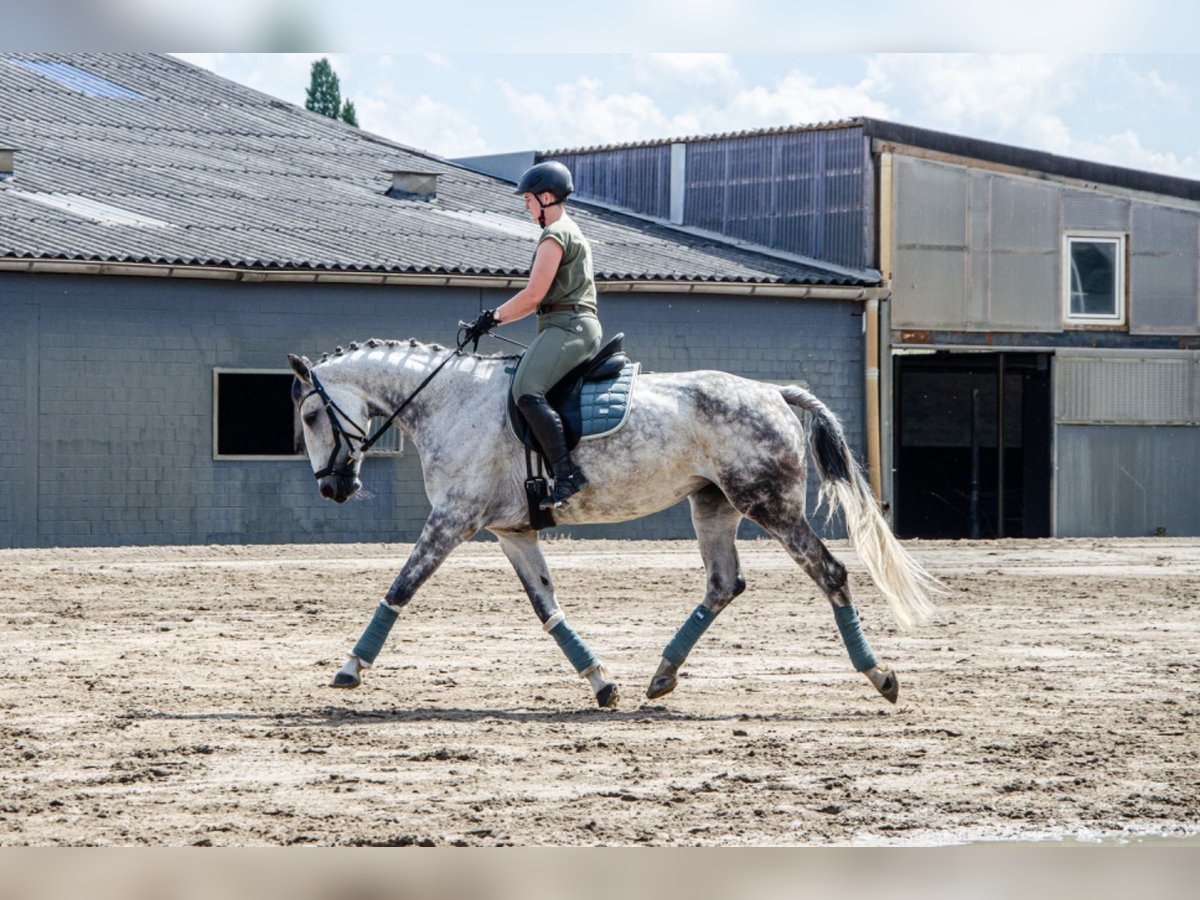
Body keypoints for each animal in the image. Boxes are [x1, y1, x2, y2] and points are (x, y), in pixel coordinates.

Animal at [288, 337, 939, 709]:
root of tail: (774, 392)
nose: (333, 488)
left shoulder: (453, 520)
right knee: (723, 584)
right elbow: (547, 608)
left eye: (313, 415)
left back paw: (880, 676)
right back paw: (662, 675)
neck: (450, 399)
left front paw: (350, 668)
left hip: (769, 505)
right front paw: (601, 682)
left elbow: (401, 587)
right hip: (715, 506)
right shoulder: (512, 531)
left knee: (830, 574)